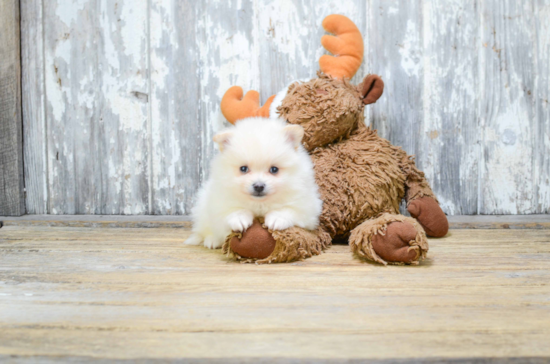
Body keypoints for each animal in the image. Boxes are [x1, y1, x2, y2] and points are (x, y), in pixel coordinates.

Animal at [187, 118, 324, 249]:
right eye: (243, 169)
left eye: (274, 169)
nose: (259, 186)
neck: (259, 204)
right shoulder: (219, 204)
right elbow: (233, 211)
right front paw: (240, 218)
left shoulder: (307, 208)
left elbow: (288, 210)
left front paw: (277, 218)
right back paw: (212, 240)